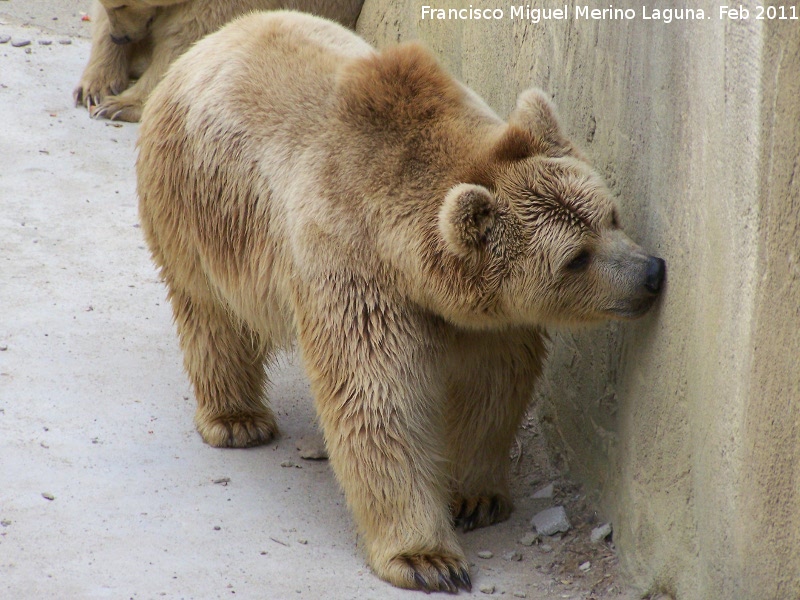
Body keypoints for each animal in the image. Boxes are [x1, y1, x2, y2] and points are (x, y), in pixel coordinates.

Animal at [136, 10, 664, 596]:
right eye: (576, 257)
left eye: (611, 215)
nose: (651, 273)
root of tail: (216, 38)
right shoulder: (353, 272)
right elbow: (377, 401)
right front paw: (429, 558)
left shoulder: (486, 315)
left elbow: (492, 384)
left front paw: (476, 496)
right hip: (196, 206)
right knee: (210, 315)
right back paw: (237, 419)